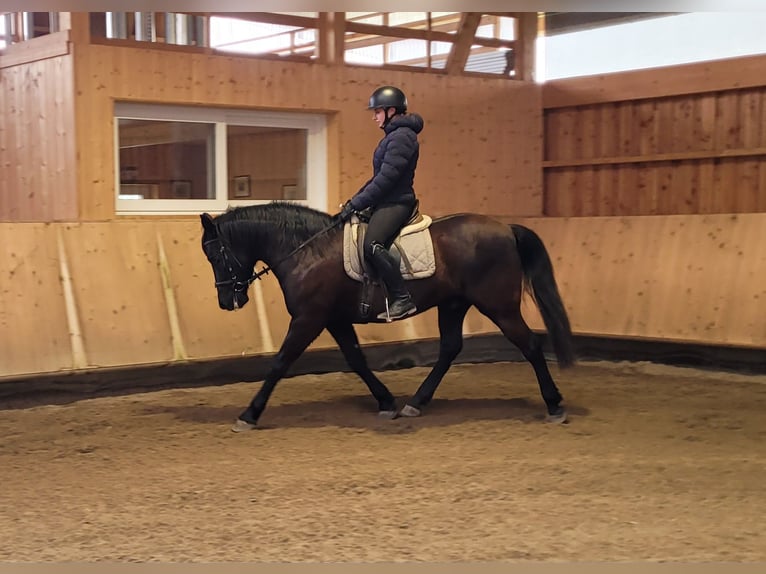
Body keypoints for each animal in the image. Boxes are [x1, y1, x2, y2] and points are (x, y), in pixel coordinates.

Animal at [200, 202, 576, 432]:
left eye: (216, 256)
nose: (226, 301)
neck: (307, 251)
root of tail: (506, 228)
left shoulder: (309, 318)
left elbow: (280, 363)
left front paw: (249, 414)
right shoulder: (334, 319)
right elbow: (356, 360)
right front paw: (386, 401)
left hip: (498, 306)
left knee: (530, 345)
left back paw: (555, 405)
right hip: (453, 304)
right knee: (450, 349)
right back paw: (416, 403)